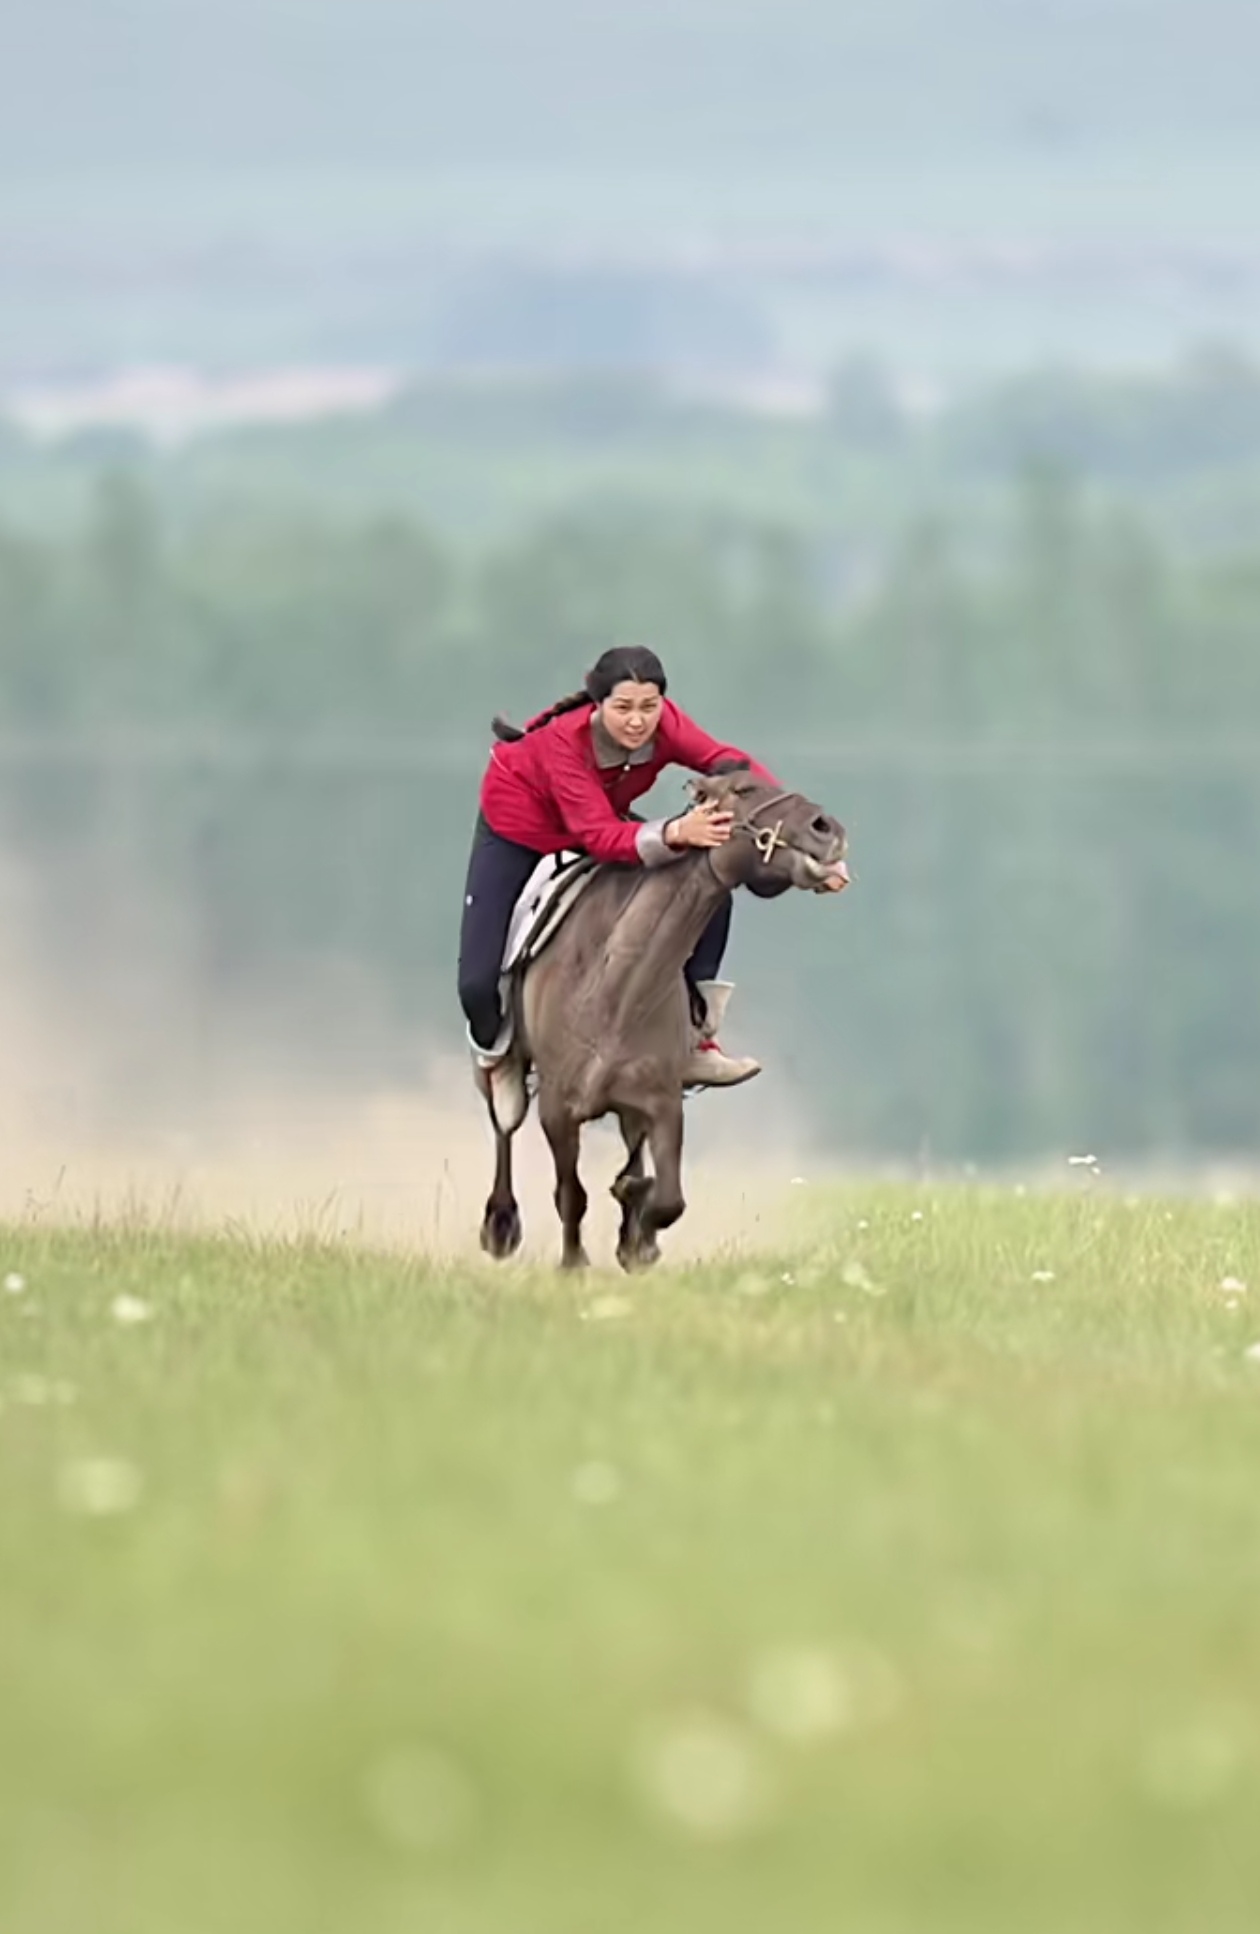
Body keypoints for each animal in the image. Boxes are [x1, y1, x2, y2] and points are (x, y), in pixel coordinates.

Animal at [478, 761, 851, 1276]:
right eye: (743, 789)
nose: (828, 830)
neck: (614, 989)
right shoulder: (557, 1108)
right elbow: (571, 1193)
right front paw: (575, 1263)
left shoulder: (660, 1101)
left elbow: (666, 1198)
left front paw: (638, 1237)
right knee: (505, 1122)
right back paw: (499, 1224)